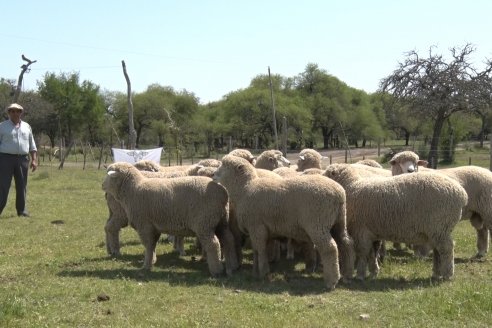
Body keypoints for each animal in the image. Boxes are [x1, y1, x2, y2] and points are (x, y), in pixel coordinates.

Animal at [102, 161, 238, 276]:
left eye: (109, 176)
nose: (102, 185)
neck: (134, 189)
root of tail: (223, 192)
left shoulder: (144, 225)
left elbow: (148, 245)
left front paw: (146, 266)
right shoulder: (154, 226)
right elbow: (152, 245)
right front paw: (152, 261)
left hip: (205, 222)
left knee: (213, 244)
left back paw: (216, 270)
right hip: (221, 221)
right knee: (229, 240)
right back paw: (232, 266)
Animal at [211, 155, 354, 290]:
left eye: (225, 166)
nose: (212, 175)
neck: (245, 189)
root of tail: (339, 194)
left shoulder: (257, 228)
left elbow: (261, 250)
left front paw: (262, 272)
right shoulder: (258, 230)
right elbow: (257, 250)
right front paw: (256, 271)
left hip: (318, 224)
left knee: (330, 248)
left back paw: (331, 281)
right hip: (339, 222)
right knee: (346, 243)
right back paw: (346, 275)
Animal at [320, 163, 468, 280]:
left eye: (327, 173)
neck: (352, 187)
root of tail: (461, 194)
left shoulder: (360, 231)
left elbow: (363, 253)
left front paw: (361, 274)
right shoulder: (372, 232)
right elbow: (372, 253)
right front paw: (374, 272)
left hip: (440, 227)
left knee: (446, 249)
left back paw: (448, 274)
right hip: (437, 230)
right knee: (438, 250)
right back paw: (437, 273)